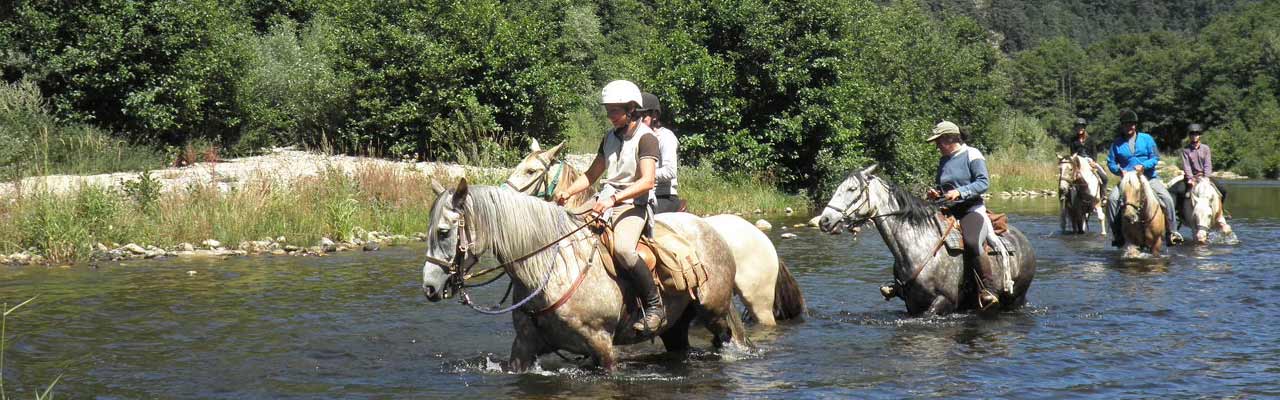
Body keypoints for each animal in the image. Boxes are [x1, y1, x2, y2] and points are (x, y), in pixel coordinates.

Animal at [819, 165, 1039, 315]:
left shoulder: (944, 300)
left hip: (1016, 298)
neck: (918, 246)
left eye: (852, 189)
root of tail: (1023, 240)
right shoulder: (912, 303)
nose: (824, 220)